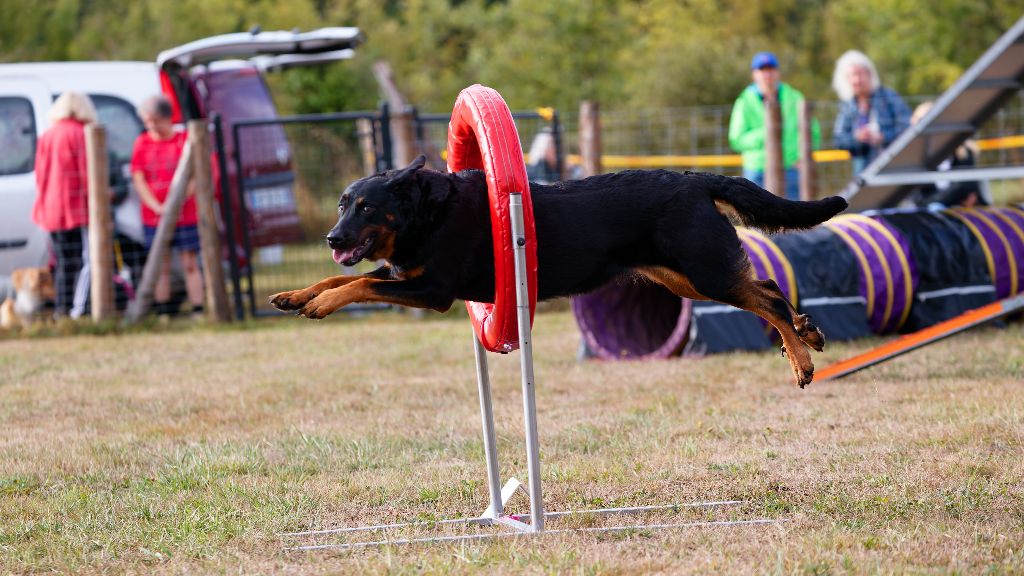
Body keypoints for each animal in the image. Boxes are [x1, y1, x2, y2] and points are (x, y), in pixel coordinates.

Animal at [270, 155, 847, 387]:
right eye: (342, 204)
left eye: (367, 207)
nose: (332, 238)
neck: (425, 214)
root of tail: (693, 178)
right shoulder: (410, 279)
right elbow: (342, 278)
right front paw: (297, 296)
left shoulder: (432, 290)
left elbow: (360, 282)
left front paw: (319, 303)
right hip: (681, 276)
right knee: (767, 286)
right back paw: (807, 333)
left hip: (703, 272)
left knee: (766, 298)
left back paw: (802, 359)